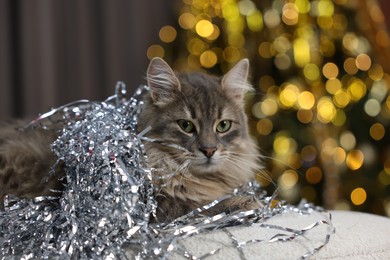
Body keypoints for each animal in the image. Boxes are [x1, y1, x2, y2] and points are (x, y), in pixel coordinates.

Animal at [0, 58, 262, 222]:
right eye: (186, 126)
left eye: (223, 126)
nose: (209, 150)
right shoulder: (142, 205)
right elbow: (198, 206)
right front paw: (244, 203)